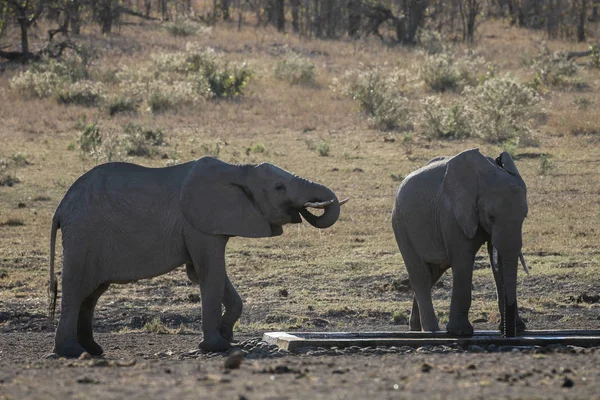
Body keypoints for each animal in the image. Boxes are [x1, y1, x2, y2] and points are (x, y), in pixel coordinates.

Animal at [48, 156, 344, 356]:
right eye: (279, 188)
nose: (307, 208)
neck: (239, 170)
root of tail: (60, 209)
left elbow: (210, 275)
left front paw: (228, 338)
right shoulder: (198, 225)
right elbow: (210, 272)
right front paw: (216, 346)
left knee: (92, 294)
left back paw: (93, 349)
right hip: (83, 236)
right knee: (77, 289)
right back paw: (71, 352)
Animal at [394, 148, 528, 336]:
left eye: (524, 217)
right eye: (491, 216)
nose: (508, 333)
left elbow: (498, 260)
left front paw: (518, 328)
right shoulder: (451, 214)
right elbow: (463, 260)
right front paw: (460, 332)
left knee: (432, 275)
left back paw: (415, 330)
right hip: (401, 226)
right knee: (421, 276)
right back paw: (431, 331)